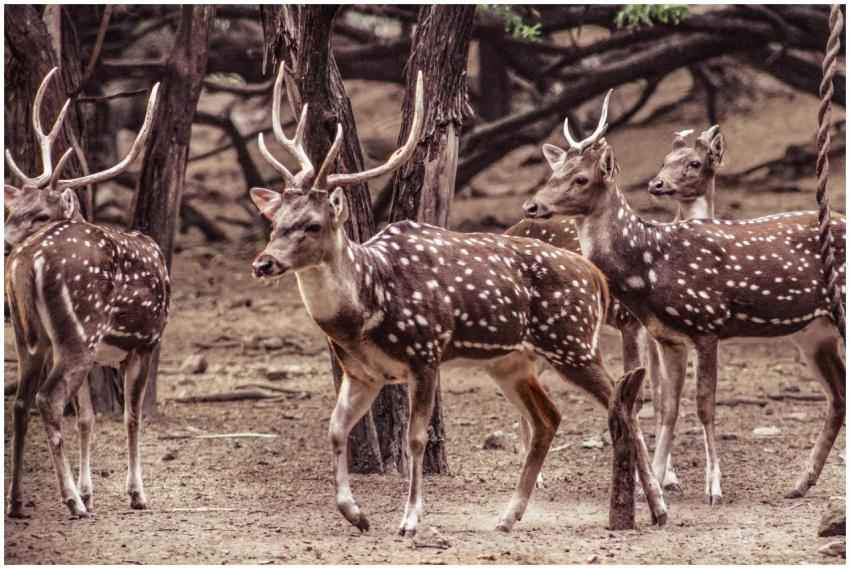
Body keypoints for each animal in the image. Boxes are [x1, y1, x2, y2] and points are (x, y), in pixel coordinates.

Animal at [4, 67, 168, 519]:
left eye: (37, 213)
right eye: (12, 210)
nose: (3, 241)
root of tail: (28, 262)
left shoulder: (104, 353)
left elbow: (88, 418)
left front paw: (92, 490)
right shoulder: (146, 342)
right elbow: (131, 417)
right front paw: (135, 494)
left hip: (33, 337)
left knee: (21, 402)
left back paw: (18, 501)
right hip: (78, 330)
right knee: (46, 399)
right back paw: (70, 502)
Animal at [248, 65, 667, 536]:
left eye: (313, 225)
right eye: (275, 222)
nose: (264, 263)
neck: (366, 312)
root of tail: (595, 277)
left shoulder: (425, 352)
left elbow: (415, 437)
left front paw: (409, 520)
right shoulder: (363, 373)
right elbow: (336, 430)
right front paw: (356, 514)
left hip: (572, 343)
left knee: (622, 403)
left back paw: (658, 507)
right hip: (511, 360)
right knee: (549, 417)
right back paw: (508, 516)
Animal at [523, 91, 846, 506]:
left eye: (581, 178)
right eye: (554, 173)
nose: (532, 205)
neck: (650, 266)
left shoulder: (707, 322)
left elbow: (704, 406)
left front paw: (713, 488)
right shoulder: (667, 337)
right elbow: (668, 407)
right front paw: (655, 485)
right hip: (812, 332)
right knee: (838, 394)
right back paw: (800, 482)